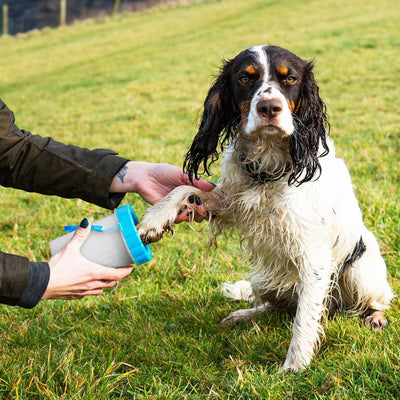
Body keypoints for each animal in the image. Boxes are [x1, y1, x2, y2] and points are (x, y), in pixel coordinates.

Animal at [138, 44, 394, 372]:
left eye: (290, 79)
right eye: (246, 79)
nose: (269, 107)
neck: (270, 162)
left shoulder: (313, 256)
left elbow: (304, 319)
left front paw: (294, 367)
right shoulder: (232, 204)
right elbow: (185, 189)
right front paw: (154, 220)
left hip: (360, 272)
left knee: (375, 301)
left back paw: (375, 317)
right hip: (264, 279)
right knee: (274, 306)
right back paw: (244, 315)